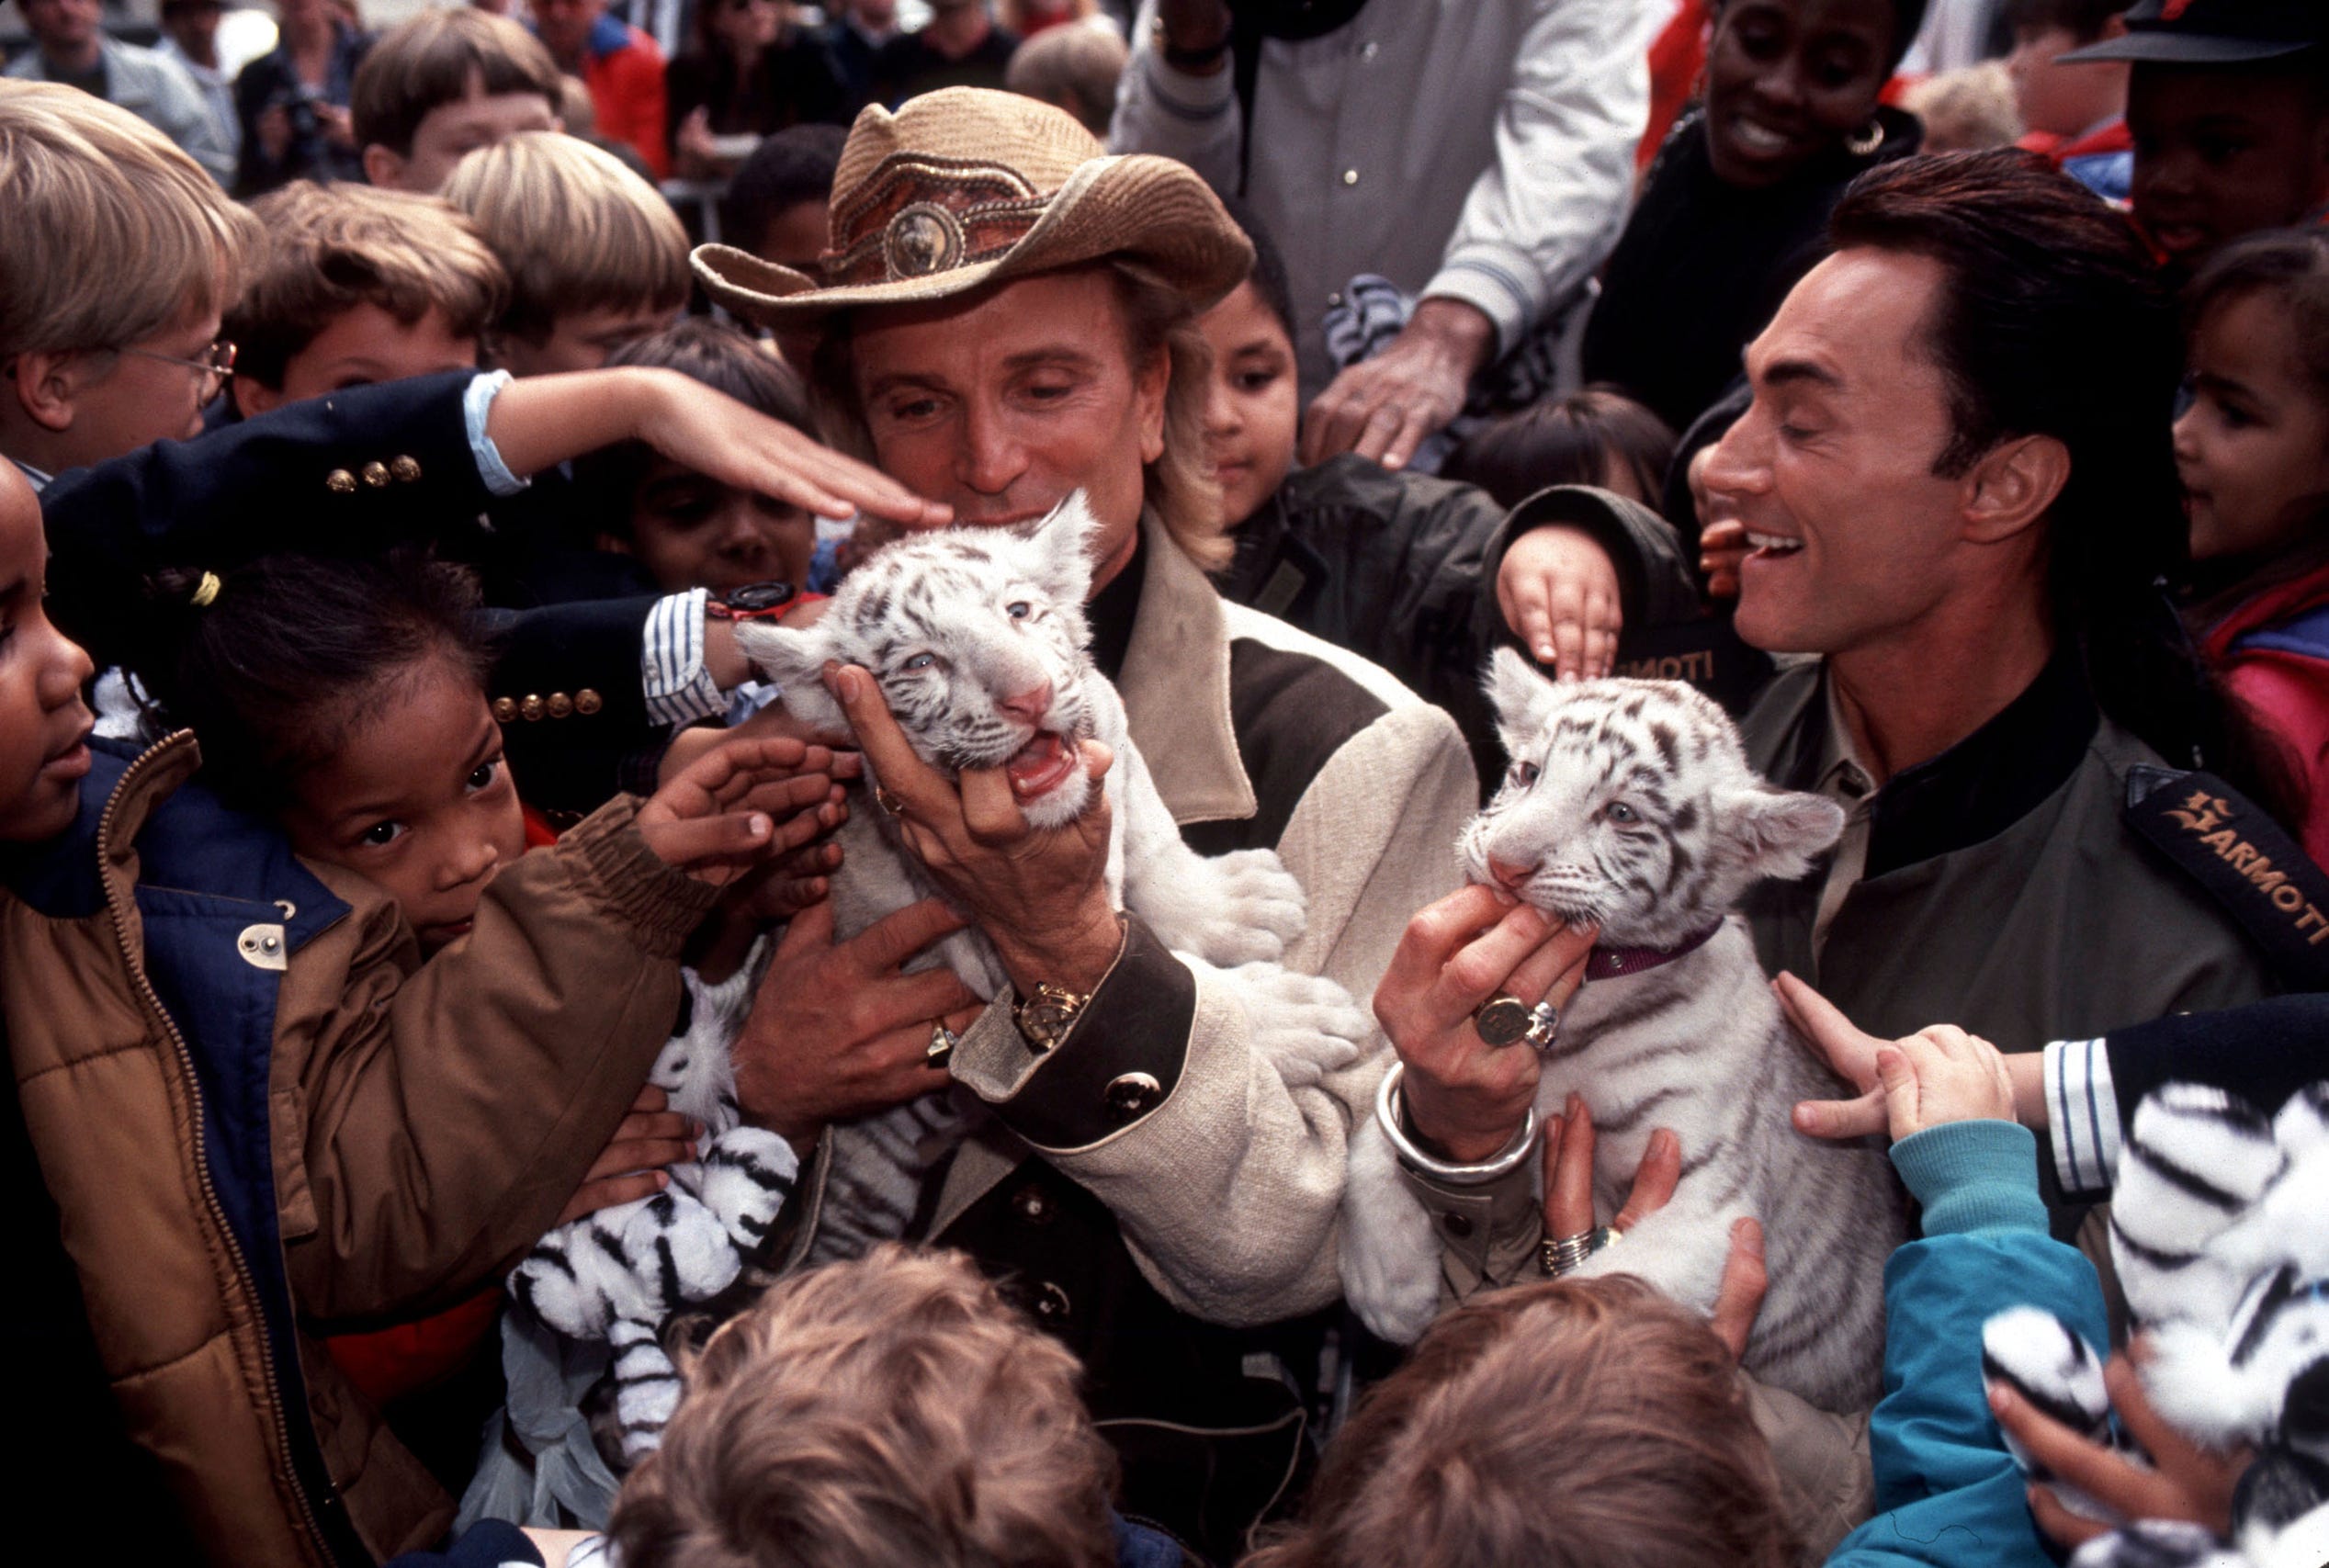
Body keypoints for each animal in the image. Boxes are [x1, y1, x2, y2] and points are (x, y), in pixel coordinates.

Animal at [1341, 652, 1900, 1416]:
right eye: (1527, 772)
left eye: (1621, 813)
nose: (1505, 863)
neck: (1584, 1006)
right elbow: (1372, 1131)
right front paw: (1386, 1284)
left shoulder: (1711, 1214)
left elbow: (1593, 1289)